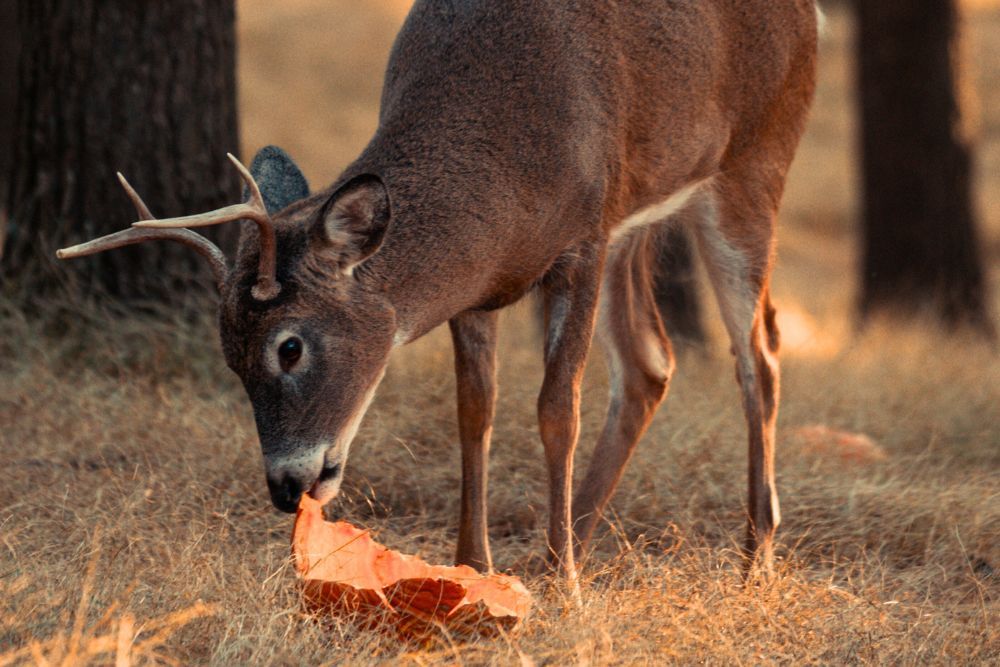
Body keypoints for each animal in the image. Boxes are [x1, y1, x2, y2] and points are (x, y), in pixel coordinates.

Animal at [58, 0, 816, 580]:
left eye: (289, 347)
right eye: (229, 356)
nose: (285, 486)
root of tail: (809, 13)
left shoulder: (583, 240)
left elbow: (555, 409)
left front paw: (564, 588)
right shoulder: (484, 287)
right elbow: (473, 410)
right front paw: (474, 565)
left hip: (757, 157)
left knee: (761, 352)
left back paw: (751, 558)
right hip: (642, 214)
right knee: (650, 361)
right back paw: (570, 539)